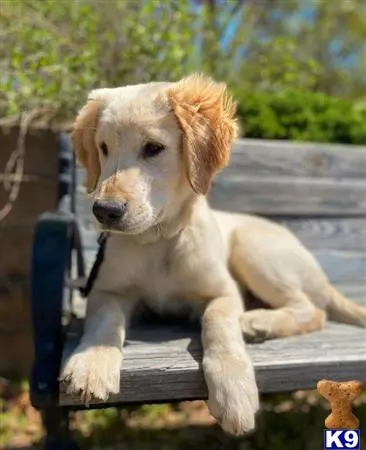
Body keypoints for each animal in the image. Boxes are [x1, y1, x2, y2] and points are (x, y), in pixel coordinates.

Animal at [61, 74, 366, 436]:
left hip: (253, 248)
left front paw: (233, 390)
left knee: (312, 309)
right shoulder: (107, 291)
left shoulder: (223, 293)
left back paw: (258, 321)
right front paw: (91, 363)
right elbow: (106, 322)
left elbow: (217, 324)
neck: (160, 240)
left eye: (153, 148)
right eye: (104, 148)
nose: (104, 211)